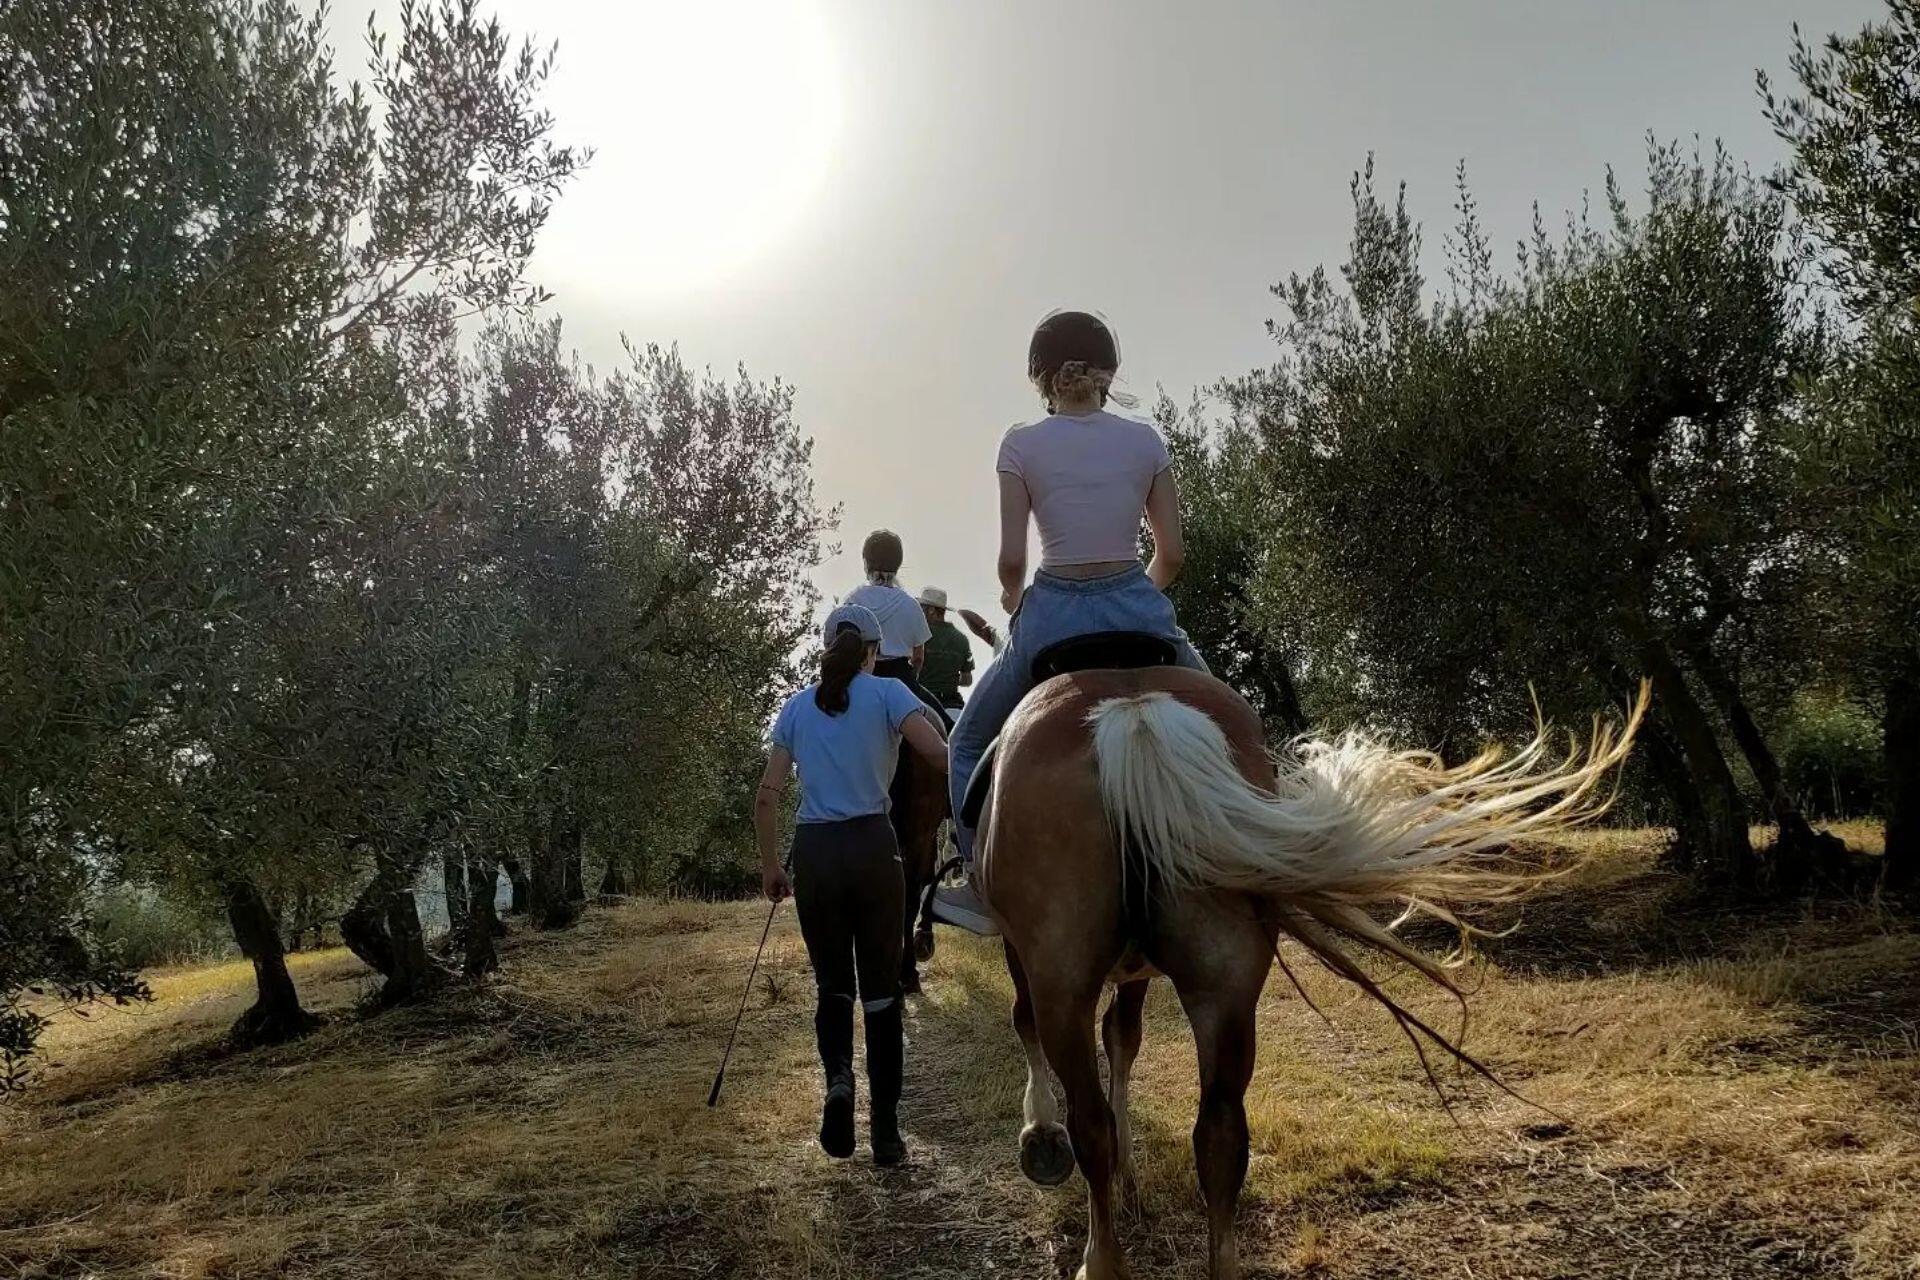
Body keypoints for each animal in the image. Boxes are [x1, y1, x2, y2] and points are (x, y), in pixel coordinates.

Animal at [983, 667, 1643, 1274]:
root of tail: (1134, 713)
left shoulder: (1029, 955)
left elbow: (1036, 1026)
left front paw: (1044, 1139)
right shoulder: (1132, 971)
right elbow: (1123, 1040)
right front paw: (1128, 1177)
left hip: (1065, 982)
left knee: (1091, 1121)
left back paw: (1099, 1255)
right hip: (1224, 989)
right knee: (1221, 1137)